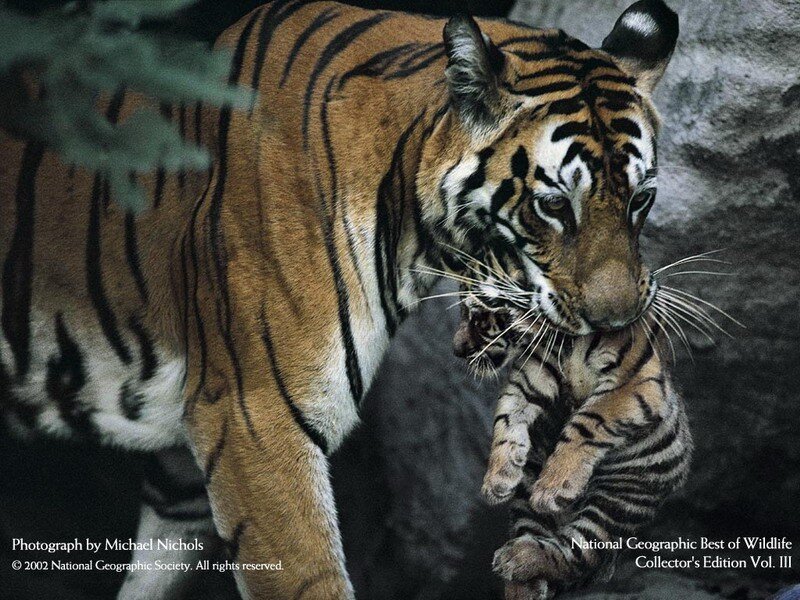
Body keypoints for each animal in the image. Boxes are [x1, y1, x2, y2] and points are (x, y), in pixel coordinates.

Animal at [452, 280, 692, 599]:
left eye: (478, 318)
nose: (457, 349)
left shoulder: (632, 381)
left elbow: (587, 422)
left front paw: (553, 488)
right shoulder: (531, 374)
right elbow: (507, 417)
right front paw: (497, 480)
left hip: (619, 501)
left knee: (578, 553)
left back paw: (518, 557)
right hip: (526, 498)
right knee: (534, 532)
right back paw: (520, 582)